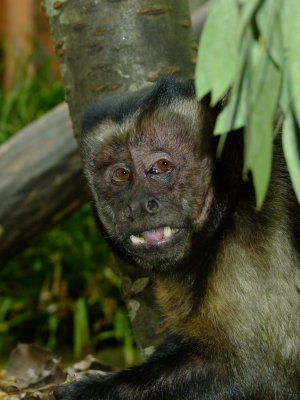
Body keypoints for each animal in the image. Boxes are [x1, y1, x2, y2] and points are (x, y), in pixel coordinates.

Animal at [54, 76, 300, 400]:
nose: (139, 205)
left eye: (162, 166)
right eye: (121, 174)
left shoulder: (255, 228)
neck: (234, 198)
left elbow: (256, 369)